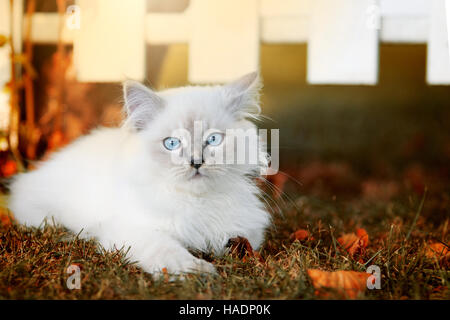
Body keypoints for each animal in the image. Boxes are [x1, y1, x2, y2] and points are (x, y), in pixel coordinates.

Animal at [7, 72, 270, 276]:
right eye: (172, 143)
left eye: (213, 140)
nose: (196, 162)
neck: (195, 201)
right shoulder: (133, 231)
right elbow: (170, 252)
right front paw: (196, 271)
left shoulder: (246, 228)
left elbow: (235, 241)